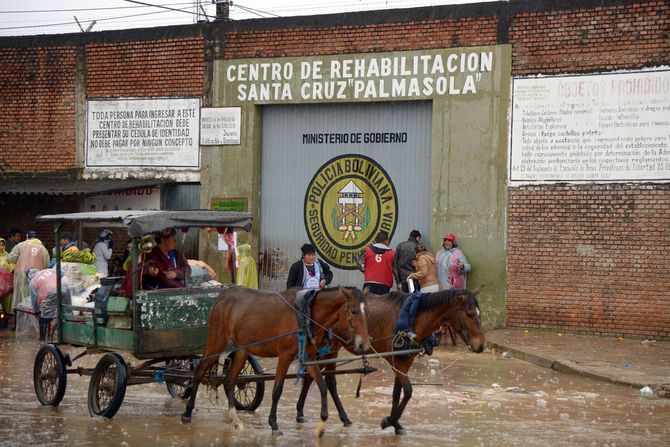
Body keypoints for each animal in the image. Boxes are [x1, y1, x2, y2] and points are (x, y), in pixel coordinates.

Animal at [181, 288, 372, 438]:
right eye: (353, 311)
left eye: (367, 312)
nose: (364, 344)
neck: (305, 313)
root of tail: (223, 296)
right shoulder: (285, 356)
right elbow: (277, 391)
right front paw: (274, 425)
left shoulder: (310, 358)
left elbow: (323, 386)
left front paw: (322, 424)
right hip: (217, 341)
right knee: (199, 372)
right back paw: (188, 412)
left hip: (243, 349)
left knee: (230, 380)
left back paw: (234, 418)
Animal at [296, 288, 486, 436]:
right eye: (469, 314)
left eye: (479, 314)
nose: (482, 345)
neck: (414, 316)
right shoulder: (396, 361)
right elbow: (408, 391)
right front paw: (389, 420)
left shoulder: (404, 361)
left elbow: (397, 392)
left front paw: (396, 423)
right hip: (328, 348)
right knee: (323, 379)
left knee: (315, 377)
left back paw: (304, 412)